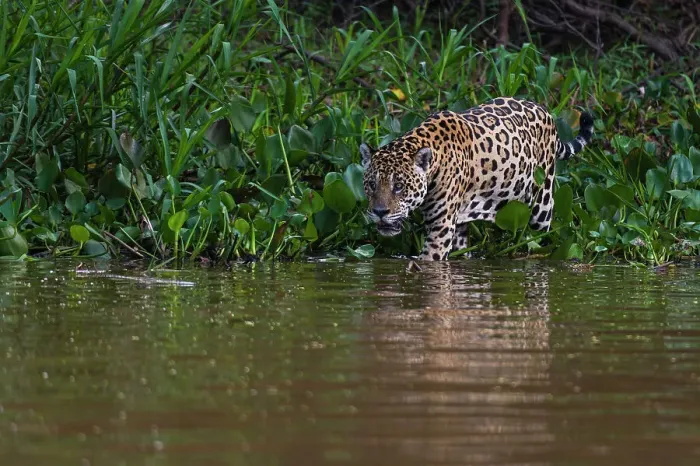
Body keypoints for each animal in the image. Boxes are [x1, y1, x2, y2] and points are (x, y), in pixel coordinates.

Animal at [360, 97, 594, 261]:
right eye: (371, 185)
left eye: (399, 186)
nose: (380, 212)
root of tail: (543, 109)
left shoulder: (440, 228)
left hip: (541, 205)